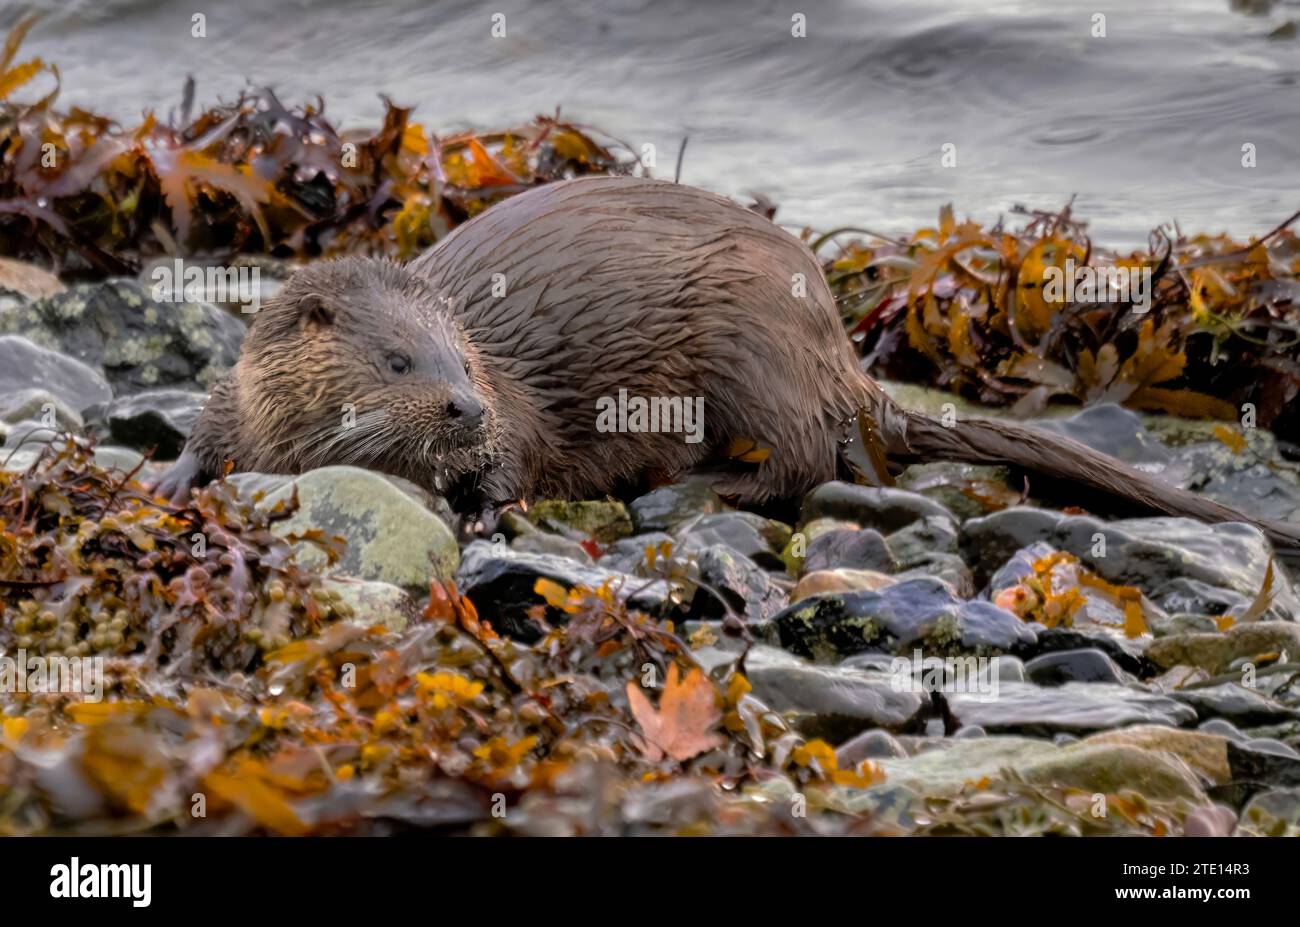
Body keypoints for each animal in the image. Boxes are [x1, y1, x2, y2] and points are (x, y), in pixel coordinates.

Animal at [154, 175, 1300, 550]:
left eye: (467, 367)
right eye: (399, 362)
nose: (461, 412)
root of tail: (837, 347)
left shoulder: (517, 417)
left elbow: (516, 465)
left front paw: (483, 511)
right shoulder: (240, 403)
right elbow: (207, 430)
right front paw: (166, 477)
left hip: (748, 344)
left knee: (805, 457)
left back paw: (709, 485)